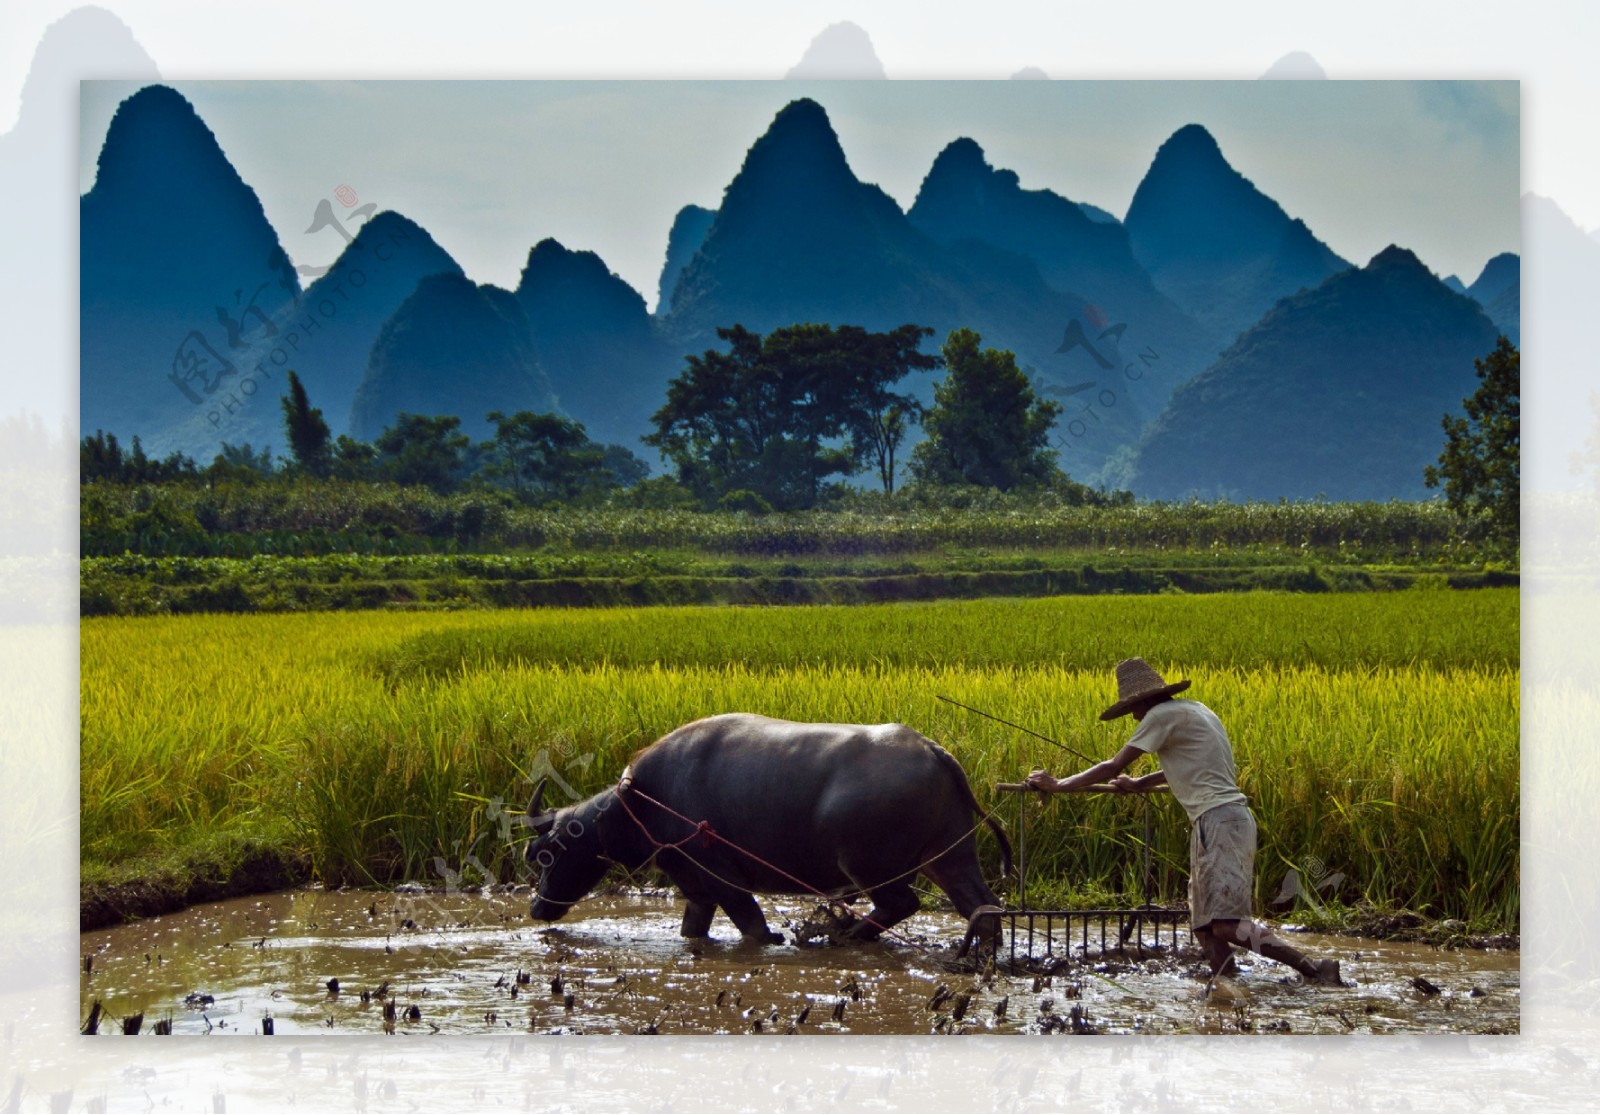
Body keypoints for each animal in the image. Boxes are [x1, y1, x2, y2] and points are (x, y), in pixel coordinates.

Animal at [524, 713, 1004, 947]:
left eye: (548, 853)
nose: (536, 908)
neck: (641, 801)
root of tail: (933, 750)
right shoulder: (694, 885)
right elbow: (692, 928)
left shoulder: (720, 874)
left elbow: (753, 926)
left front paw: (773, 938)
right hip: (950, 855)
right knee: (981, 906)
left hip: (868, 865)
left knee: (902, 903)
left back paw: (846, 936)